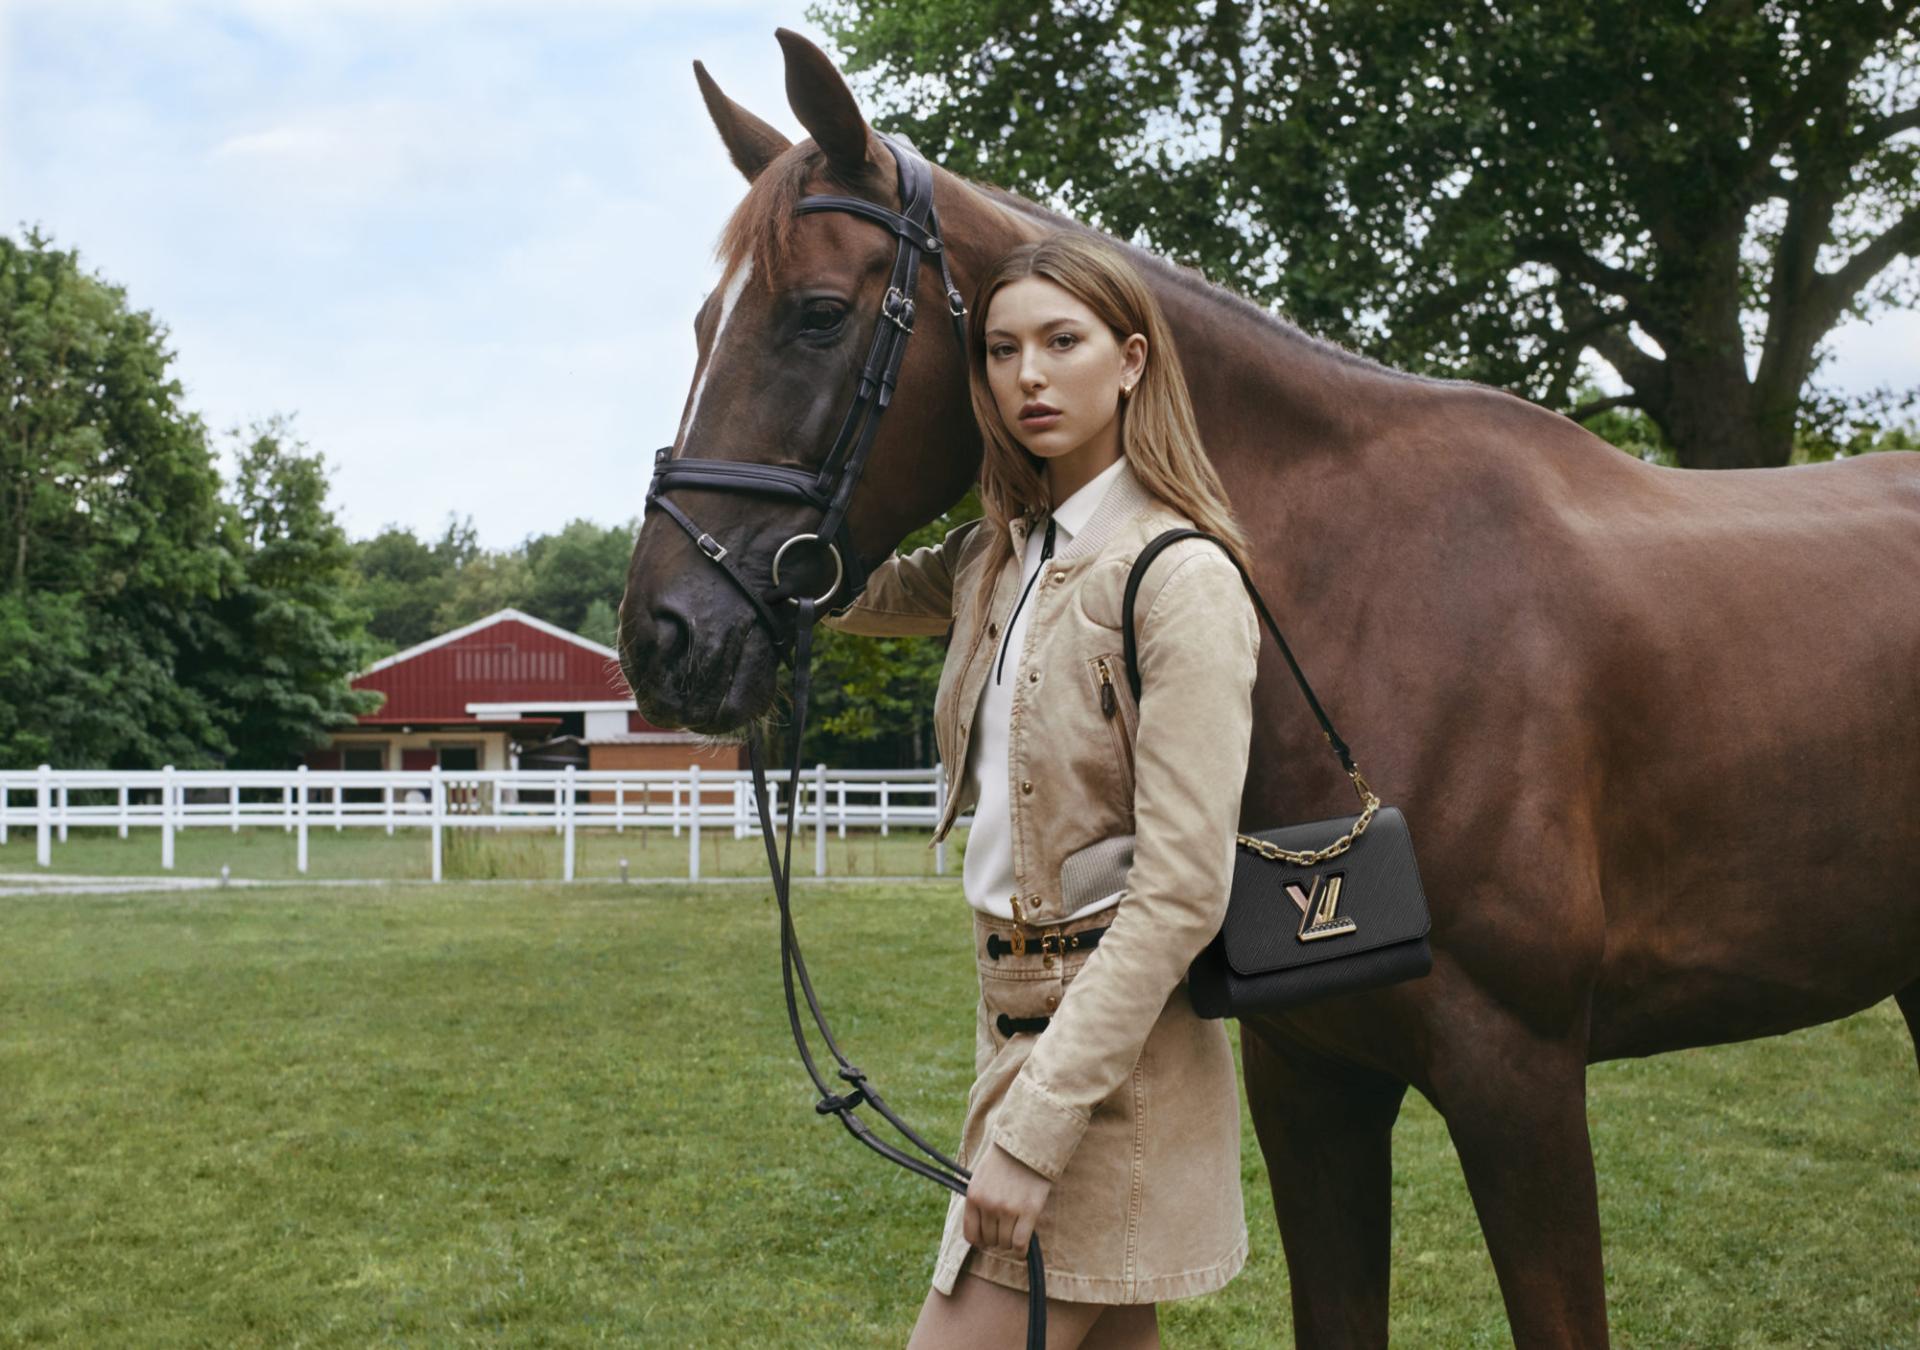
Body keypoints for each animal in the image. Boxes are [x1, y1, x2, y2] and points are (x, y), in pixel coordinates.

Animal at [622, 31, 1912, 1350]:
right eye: (704, 321)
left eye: (819, 316)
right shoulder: (1312, 1079)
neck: (1363, 598)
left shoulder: (1525, 1087)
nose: (663, 636)